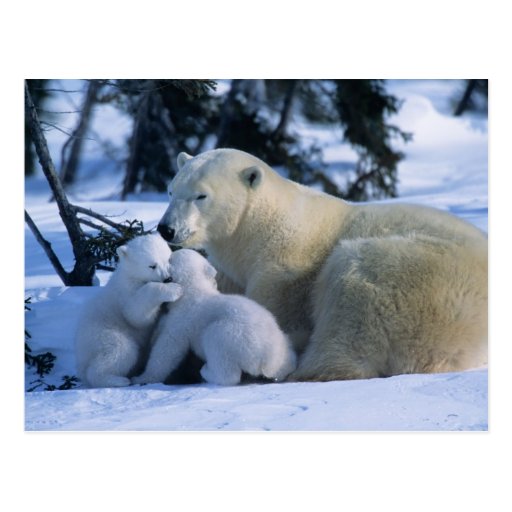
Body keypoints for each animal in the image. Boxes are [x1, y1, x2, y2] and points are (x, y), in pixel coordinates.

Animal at [74, 233, 182, 388]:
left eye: (168, 259)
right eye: (152, 266)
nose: (168, 278)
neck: (131, 274)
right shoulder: (126, 292)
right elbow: (136, 314)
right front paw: (174, 290)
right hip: (102, 334)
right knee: (121, 350)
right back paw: (117, 380)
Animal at [132, 248, 296, 384]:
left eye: (169, 258)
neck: (193, 291)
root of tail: (268, 359)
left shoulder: (182, 320)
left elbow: (167, 348)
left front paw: (142, 377)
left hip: (234, 336)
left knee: (219, 349)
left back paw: (207, 371)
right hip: (281, 343)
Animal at [156, 148, 488, 380]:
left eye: (201, 196)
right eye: (171, 190)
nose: (166, 229)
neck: (259, 230)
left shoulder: (285, 271)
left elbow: (273, 317)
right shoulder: (233, 271)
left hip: (411, 278)